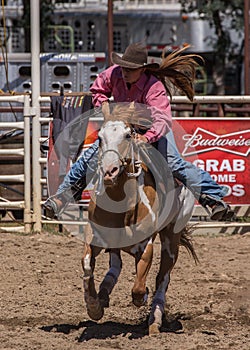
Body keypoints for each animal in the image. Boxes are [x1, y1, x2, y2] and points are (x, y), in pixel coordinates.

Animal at [81, 104, 198, 334]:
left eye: (128, 135)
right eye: (100, 137)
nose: (109, 171)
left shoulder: (146, 246)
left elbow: (138, 287)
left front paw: (143, 297)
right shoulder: (95, 236)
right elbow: (88, 264)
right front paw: (94, 307)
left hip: (172, 238)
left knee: (163, 277)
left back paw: (155, 320)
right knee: (116, 264)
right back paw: (105, 290)